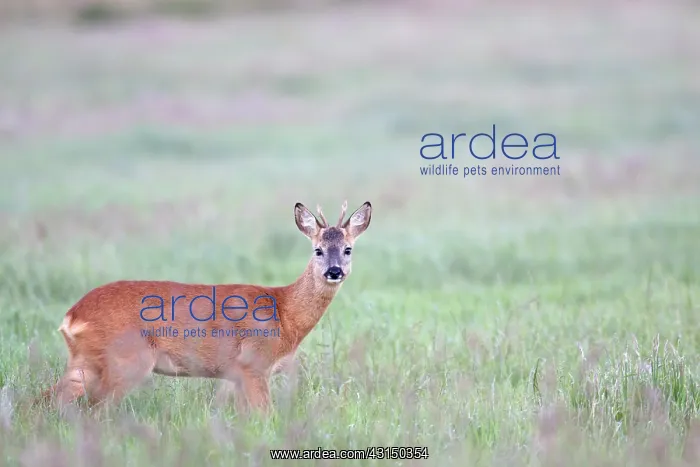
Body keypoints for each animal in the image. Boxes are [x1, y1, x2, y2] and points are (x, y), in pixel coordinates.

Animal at [41, 200, 372, 413]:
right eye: (318, 250)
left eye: (347, 249)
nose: (334, 271)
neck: (284, 313)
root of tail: (71, 317)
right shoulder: (254, 363)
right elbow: (266, 416)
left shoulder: (236, 375)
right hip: (126, 360)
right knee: (94, 411)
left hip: (85, 361)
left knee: (48, 400)